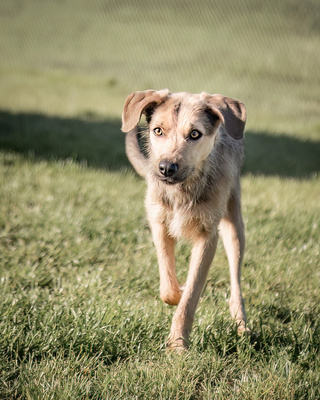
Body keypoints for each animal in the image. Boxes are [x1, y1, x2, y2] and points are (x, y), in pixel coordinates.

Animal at [121, 89, 249, 348]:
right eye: (158, 130)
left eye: (195, 134)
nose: (166, 168)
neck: (183, 189)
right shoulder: (158, 223)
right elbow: (168, 285)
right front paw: (177, 291)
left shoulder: (208, 236)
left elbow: (191, 296)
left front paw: (178, 344)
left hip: (234, 226)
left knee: (235, 280)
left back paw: (241, 324)